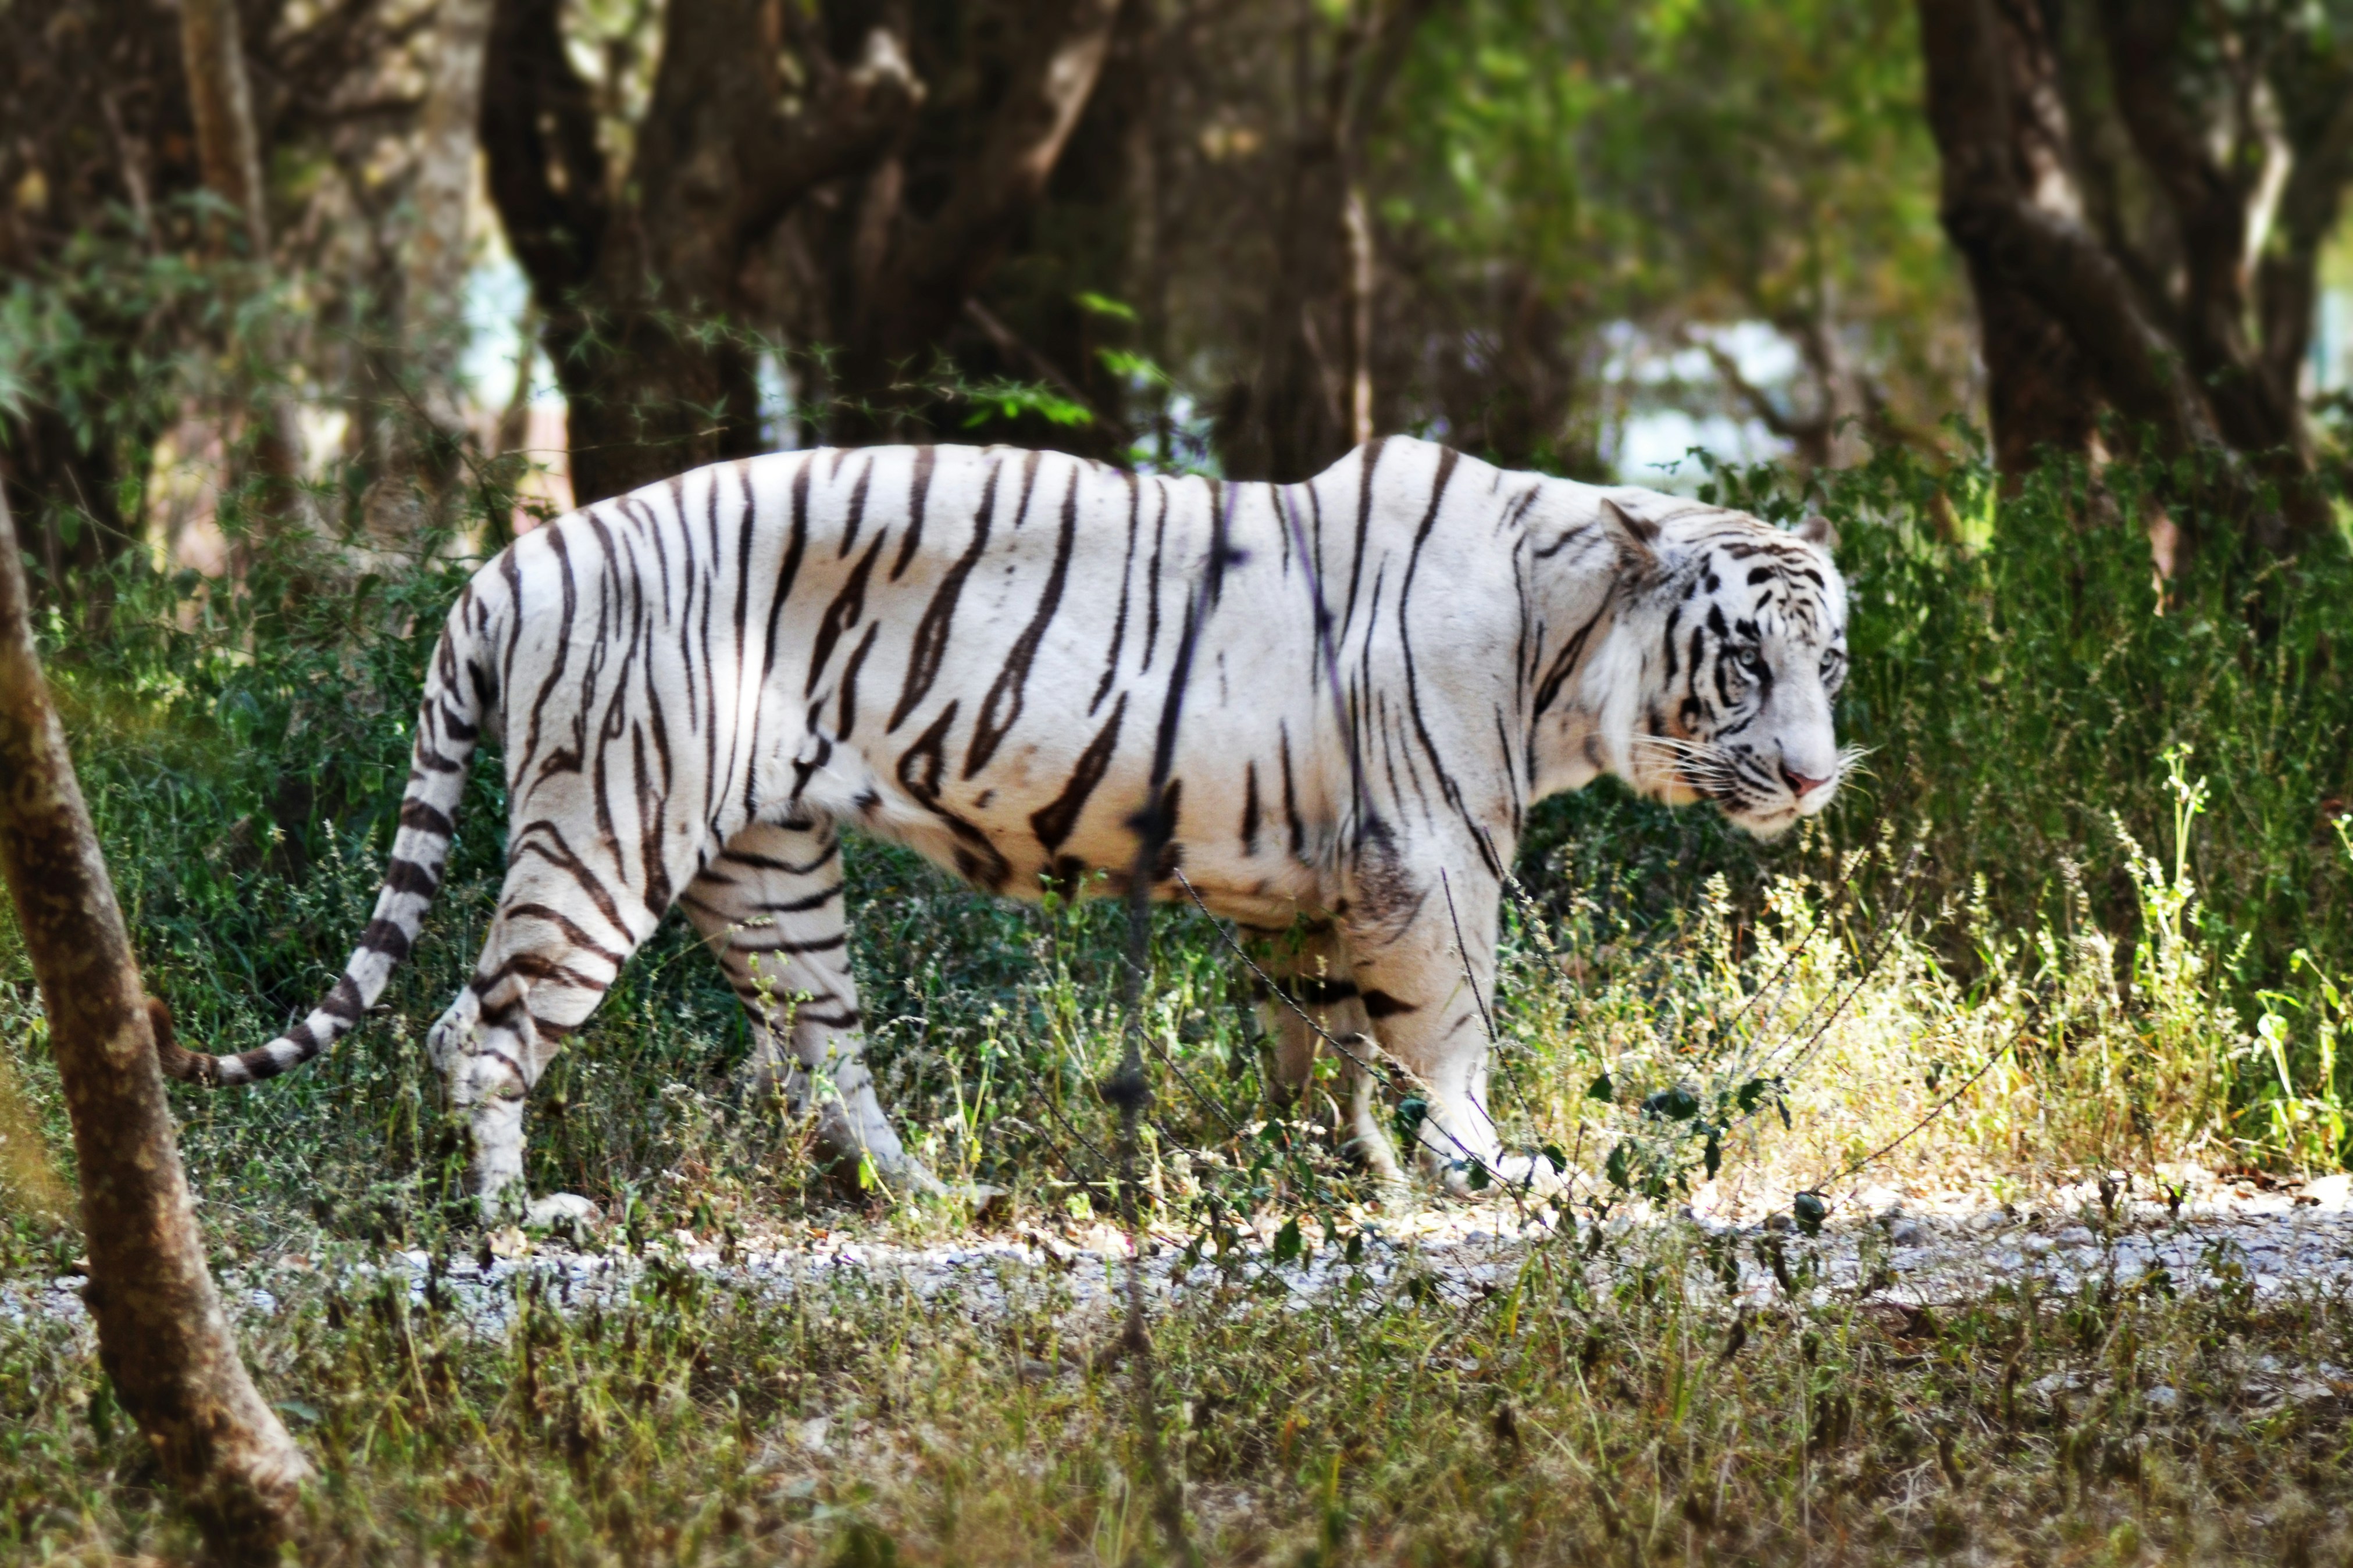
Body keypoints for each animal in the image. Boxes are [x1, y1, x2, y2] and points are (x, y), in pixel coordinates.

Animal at [159, 436, 1850, 1223]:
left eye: (1827, 665)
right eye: (1743, 664)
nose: (1816, 778)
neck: (1568, 648)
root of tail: (511, 562)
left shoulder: (1308, 891)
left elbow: (1318, 1043)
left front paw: (1328, 1168)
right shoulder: (1434, 862)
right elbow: (1448, 1034)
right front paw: (1485, 1168)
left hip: (770, 870)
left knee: (818, 1053)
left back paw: (929, 1197)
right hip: (606, 829)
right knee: (478, 1028)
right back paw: (523, 1222)